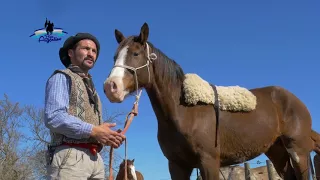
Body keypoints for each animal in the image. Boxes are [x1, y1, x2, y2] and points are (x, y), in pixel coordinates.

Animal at [104, 22, 318, 180]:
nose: (110, 87)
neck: (184, 112)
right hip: (278, 152)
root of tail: (294, 99)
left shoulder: (209, 162)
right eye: (114, 56)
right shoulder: (177, 165)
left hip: (298, 152)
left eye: (135, 54)